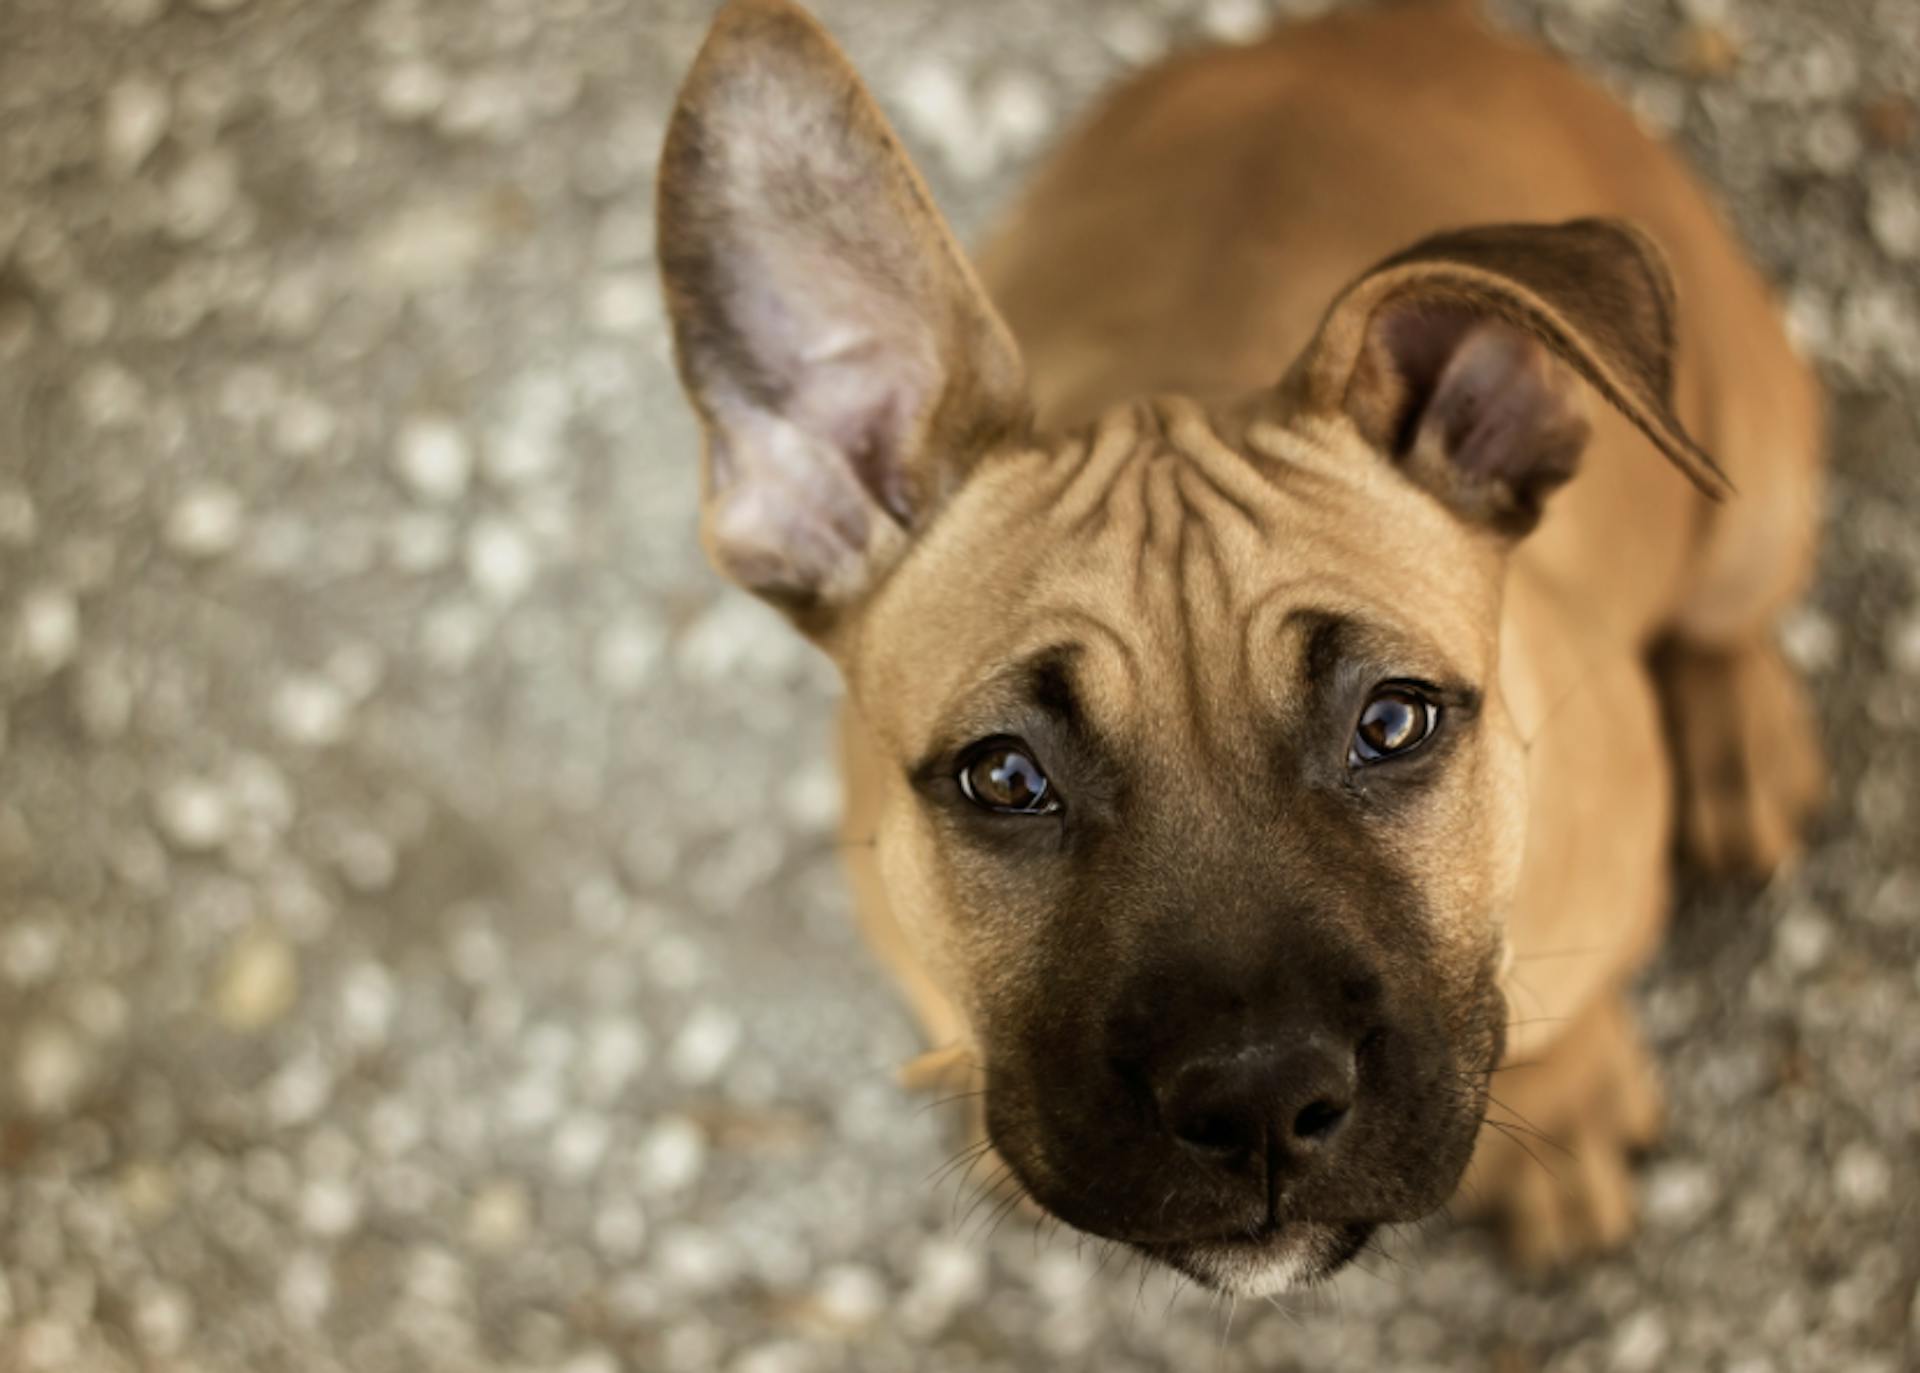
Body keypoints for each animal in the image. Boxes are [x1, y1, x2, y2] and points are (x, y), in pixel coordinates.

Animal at [652, 0, 1820, 1298]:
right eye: (1003, 775)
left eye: (1392, 720)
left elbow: (1560, 1026)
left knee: (1727, 614)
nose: (1260, 1101)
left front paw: (1564, 1119)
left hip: (1753, 484)